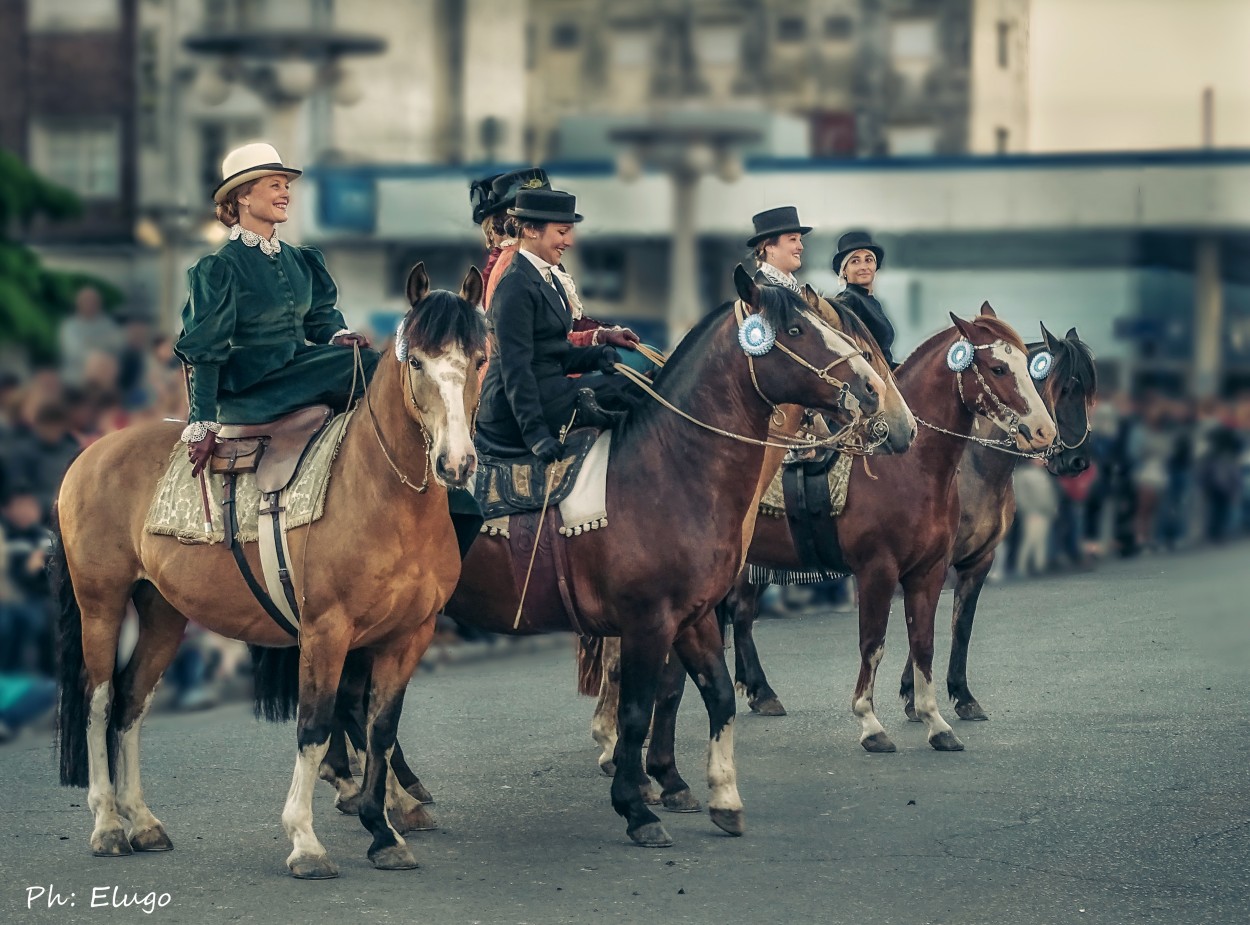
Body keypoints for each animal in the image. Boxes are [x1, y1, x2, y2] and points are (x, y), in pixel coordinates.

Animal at [57, 263, 487, 880]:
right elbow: (314, 728)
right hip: (102, 603)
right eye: (418, 363)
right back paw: (108, 825)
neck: (381, 491)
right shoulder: (326, 632)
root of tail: (91, 453)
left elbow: (381, 729)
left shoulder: (409, 634)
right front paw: (305, 841)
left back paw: (142, 821)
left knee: (130, 704)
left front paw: (382, 831)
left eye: (478, 358)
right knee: (97, 702)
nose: (455, 463)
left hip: (161, 610)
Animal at [900, 322, 1095, 725]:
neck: (970, 468)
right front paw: (913, 696)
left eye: (1087, 391)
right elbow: (921, 626)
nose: (1078, 462)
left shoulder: (979, 561)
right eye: (1064, 388)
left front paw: (961, 696)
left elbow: (961, 626)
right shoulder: (933, 563)